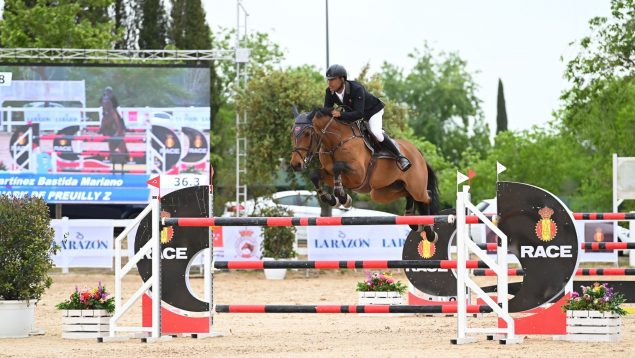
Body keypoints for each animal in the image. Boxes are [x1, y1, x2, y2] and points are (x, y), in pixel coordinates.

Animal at [290, 106, 440, 241]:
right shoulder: (328, 172)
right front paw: (332, 199)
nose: (296, 164)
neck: (336, 142)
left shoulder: (358, 175)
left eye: (307, 134)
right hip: (382, 192)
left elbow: (338, 166)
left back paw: (430, 232)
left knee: (426, 197)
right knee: (408, 194)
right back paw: (413, 221)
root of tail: (419, 153)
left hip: (416, 187)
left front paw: (343, 197)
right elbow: (314, 174)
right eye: (292, 134)